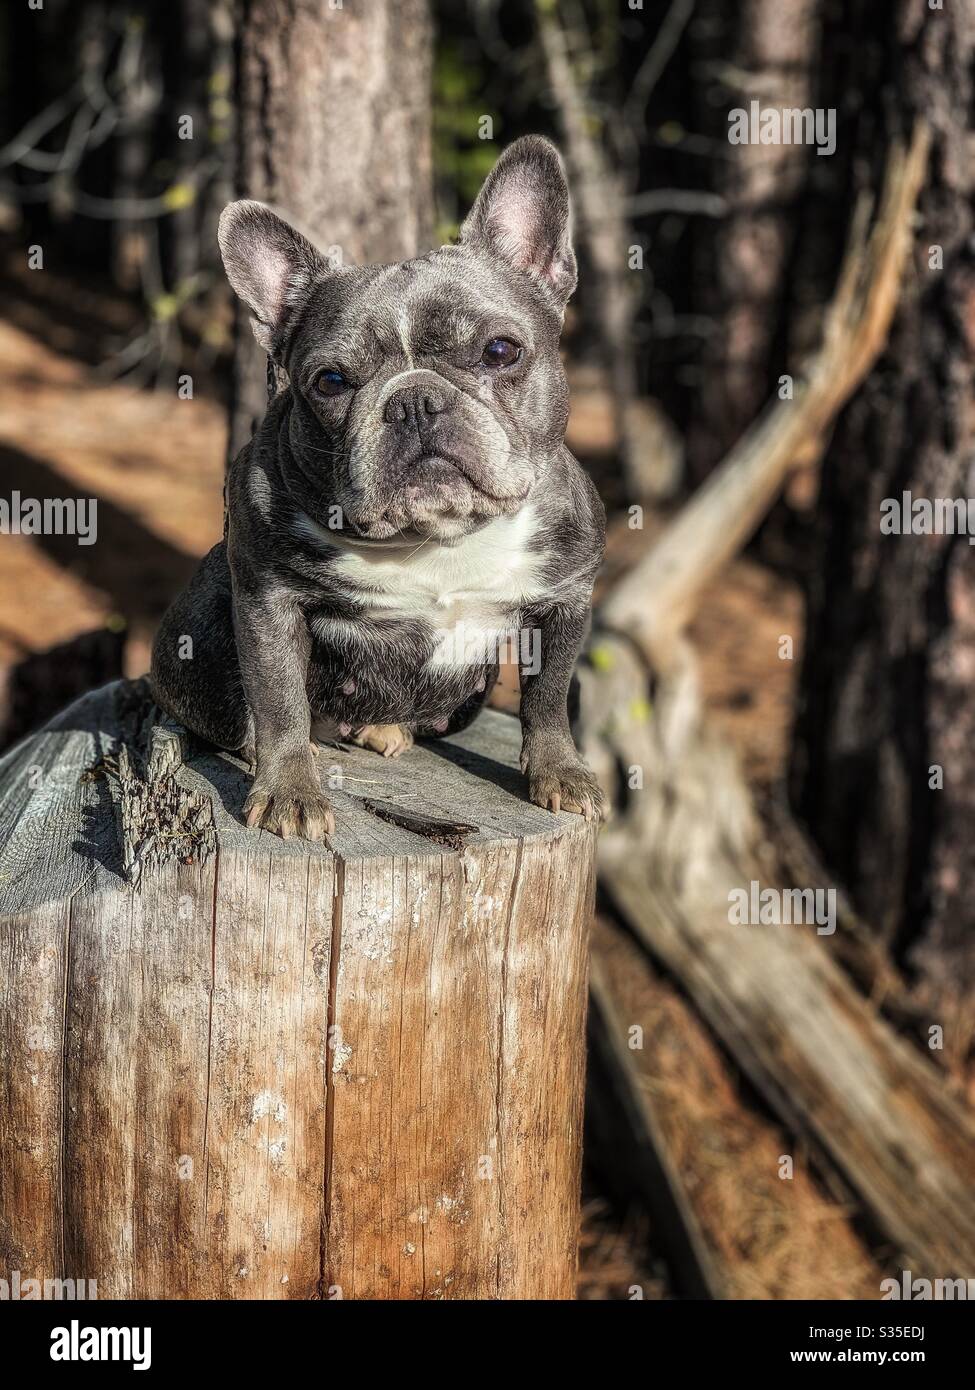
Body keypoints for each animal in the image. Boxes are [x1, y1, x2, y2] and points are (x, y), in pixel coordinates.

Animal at [149, 135, 603, 839]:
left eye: (501, 350)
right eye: (331, 382)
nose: (413, 401)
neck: (438, 537)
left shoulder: (567, 600)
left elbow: (549, 697)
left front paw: (559, 772)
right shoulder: (268, 601)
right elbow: (278, 700)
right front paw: (289, 789)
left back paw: (385, 730)